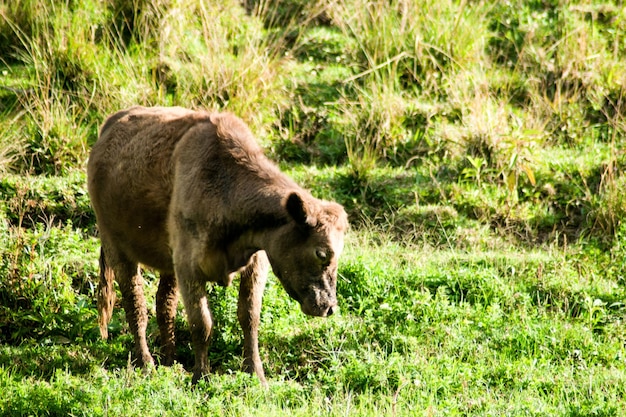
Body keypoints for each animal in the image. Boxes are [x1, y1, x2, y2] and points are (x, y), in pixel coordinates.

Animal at [88, 105, 348, 382]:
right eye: (321, 253)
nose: (329, 307)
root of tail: (112, 123)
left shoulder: (256, 262)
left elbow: (249, 316)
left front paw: (256, 374)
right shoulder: (188, 266)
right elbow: (202, 323)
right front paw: (201, 377)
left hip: (167, 261)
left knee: (164, 303)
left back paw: (170, 361)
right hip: (117, 248)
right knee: (135, 303)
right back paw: (146, 364)